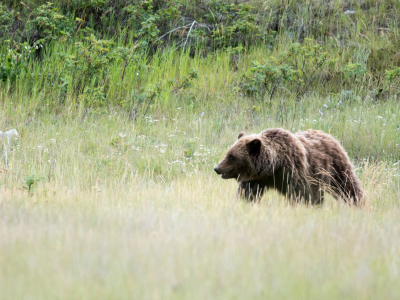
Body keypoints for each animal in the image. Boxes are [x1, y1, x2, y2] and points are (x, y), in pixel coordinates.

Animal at [214, 127, 364, 205]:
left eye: (232, 157)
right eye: (228, 153)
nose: (217, 168)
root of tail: (330, 136)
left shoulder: (293, 171)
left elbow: (302, 193)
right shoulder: (255, 180)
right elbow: (247, 193)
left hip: (334, 167)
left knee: (347, 186)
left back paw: (357, 202)